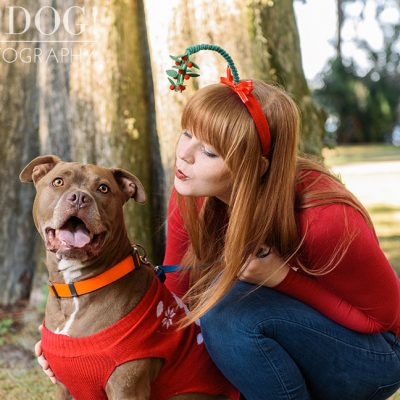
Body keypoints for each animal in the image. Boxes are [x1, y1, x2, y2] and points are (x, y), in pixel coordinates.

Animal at [20, 155, 239, 400]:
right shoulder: (63, 387)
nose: (79, 198)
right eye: (58, 182)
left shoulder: (126, 387)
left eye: (103, 188)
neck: (76, 288)